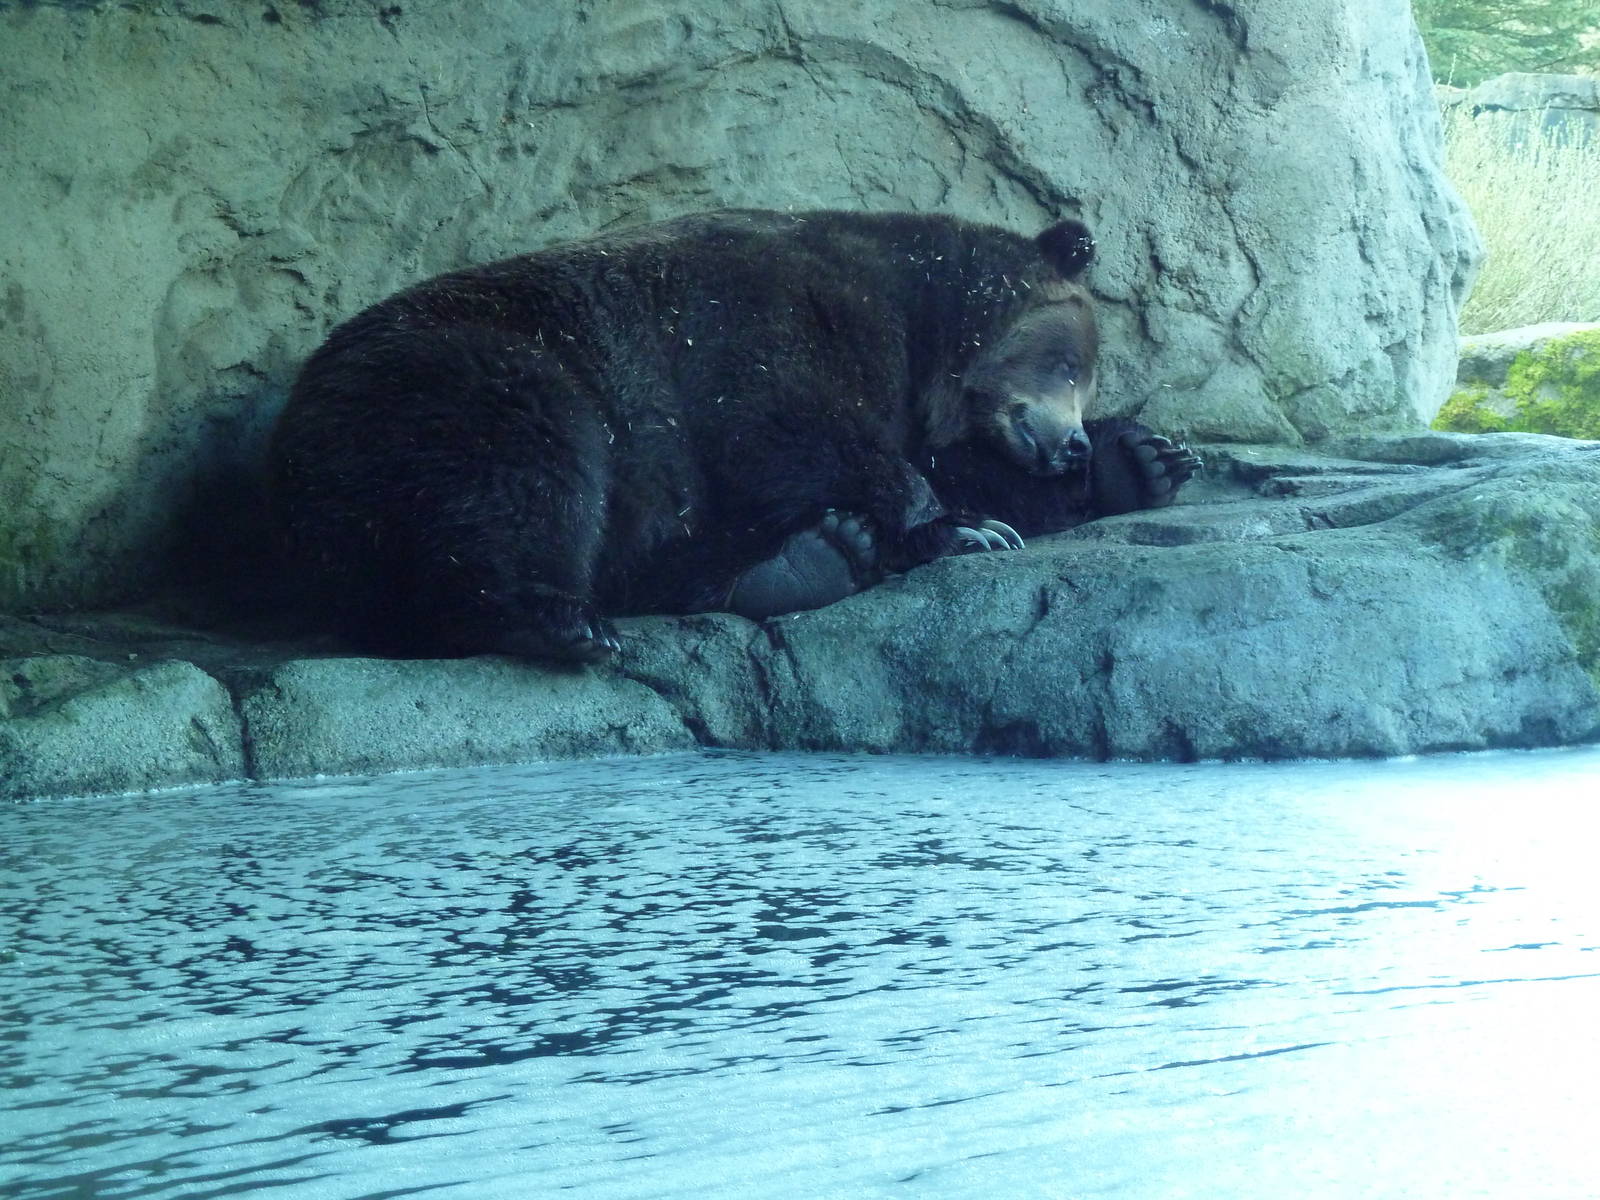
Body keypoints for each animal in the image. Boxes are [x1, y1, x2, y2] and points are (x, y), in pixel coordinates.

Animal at [269, 209, 1198, 663]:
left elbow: (960, 464)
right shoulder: (765, 317)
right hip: (463, 376)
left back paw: (810, 558)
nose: (1072, 443)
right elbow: (789, 422)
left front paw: (1146, 460)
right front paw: (953, 526)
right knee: (522, 474)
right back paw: (554, 620)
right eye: (1070, 361)